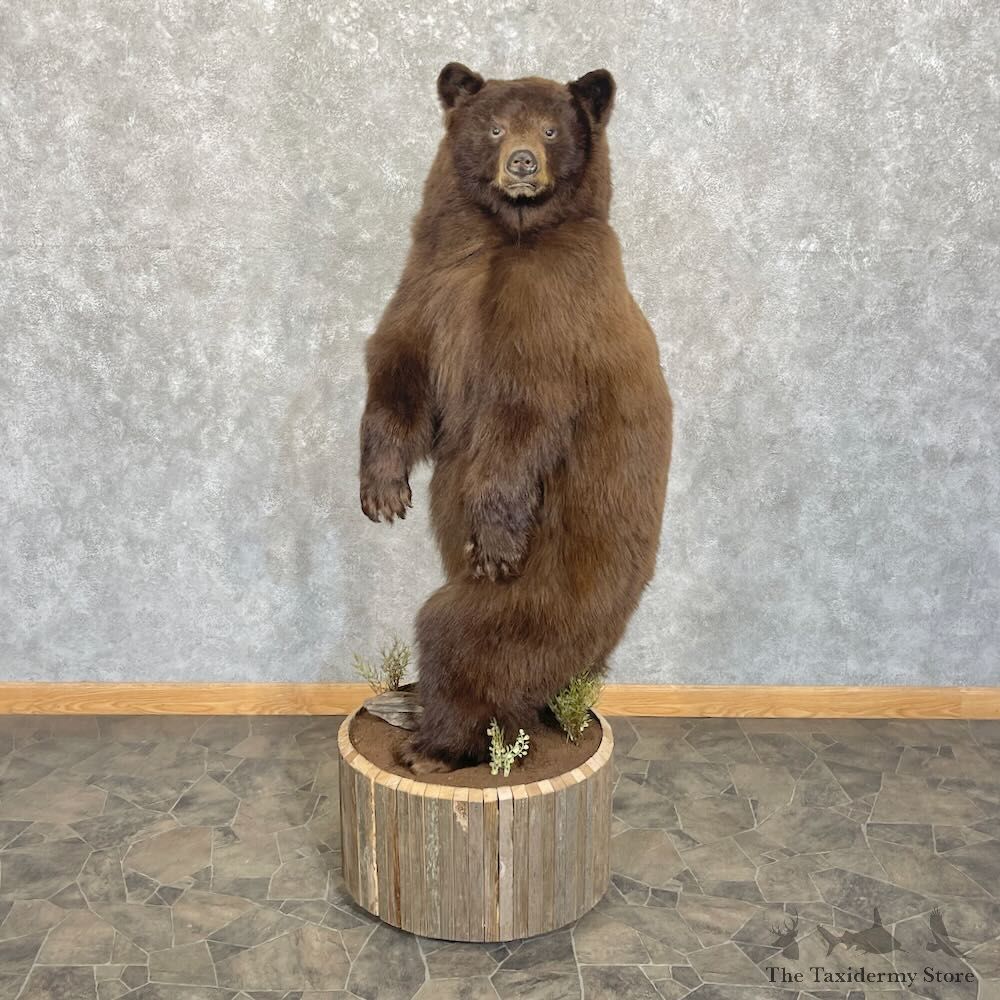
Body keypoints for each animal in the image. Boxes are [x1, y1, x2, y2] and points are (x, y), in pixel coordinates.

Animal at [359, 63, 672, 773]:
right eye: (497, 127)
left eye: (551, 129)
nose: (523, 162)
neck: (507, 237)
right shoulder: (433, 277)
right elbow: (401, 365)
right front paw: (382, 491)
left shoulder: (554, 304)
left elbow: (522, 415)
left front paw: (495, 535)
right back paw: (402, 706)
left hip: (535, 599)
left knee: (468, 645)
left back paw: (434, 742)